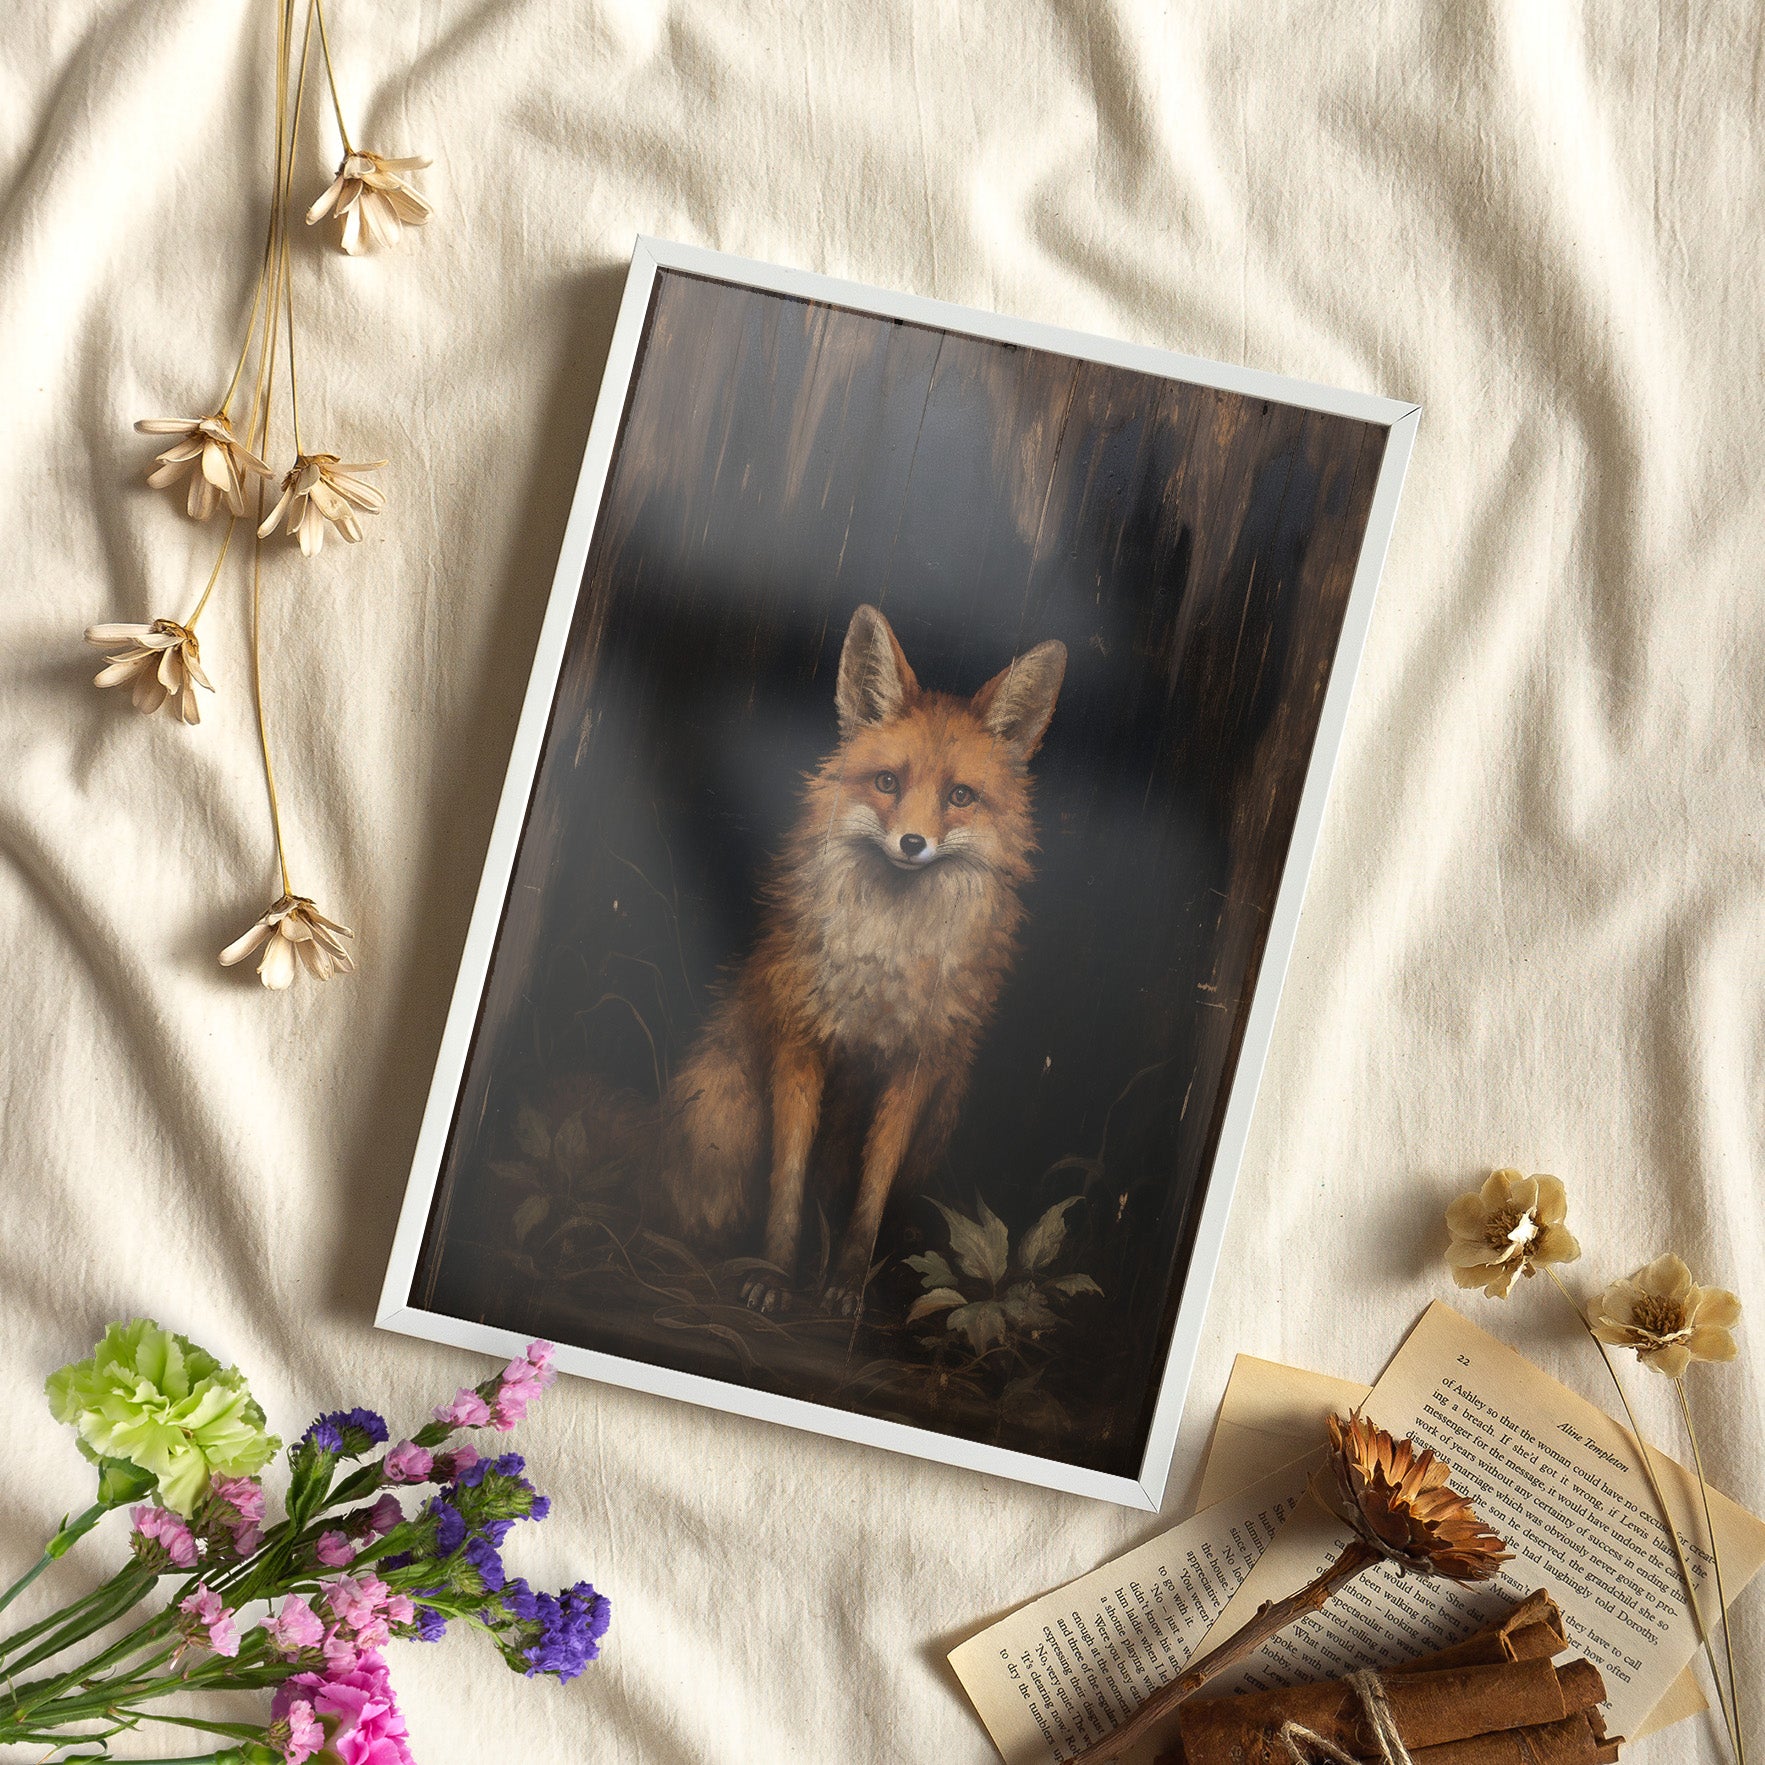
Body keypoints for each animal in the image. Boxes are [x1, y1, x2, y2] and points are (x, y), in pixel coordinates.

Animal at [658, 603, 1066, 1314]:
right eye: (886, 783)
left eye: (960, 796)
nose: (912, 843)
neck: (884, 967)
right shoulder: (800, 1042)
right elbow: (787, 1180)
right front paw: (773, 1275)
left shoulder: (915, 1065)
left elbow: (872, 1192)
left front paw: (846, 1285)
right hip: (724, 1106)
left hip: (946, 1103)